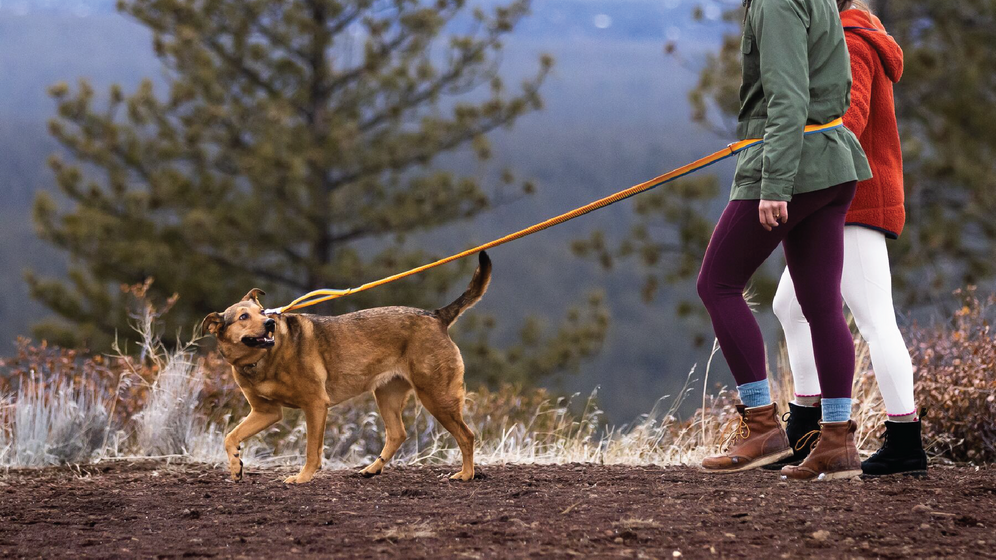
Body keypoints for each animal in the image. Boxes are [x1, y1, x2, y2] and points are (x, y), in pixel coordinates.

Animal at [201, 252, 490, 484]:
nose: (270, 324)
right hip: (387, 395)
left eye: (263, 314)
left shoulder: (315, 405)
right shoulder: (266, 412)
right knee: (398, 434)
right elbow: (230, 437)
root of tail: (436, 316)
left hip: (436, 396)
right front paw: (236, 467)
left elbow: (312, 450)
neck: (262, 359)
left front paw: (302, 478)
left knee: (466, 435)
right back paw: (372, 469)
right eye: (243, 317)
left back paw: (466, 474)